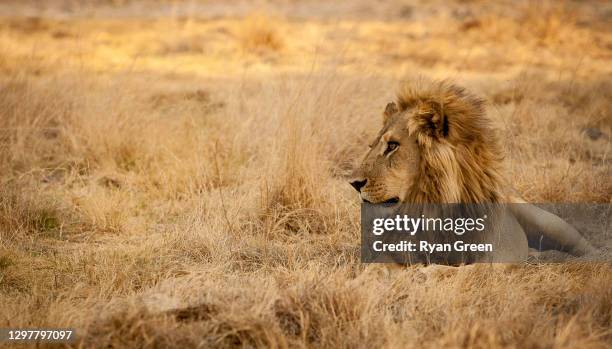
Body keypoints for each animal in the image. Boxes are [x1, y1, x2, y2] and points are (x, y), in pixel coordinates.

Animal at [350, 79, 596, 264]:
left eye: (392, 146)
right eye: (372, 146)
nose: (354, 183)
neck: (429, 204)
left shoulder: (492, 258)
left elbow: (446, 272)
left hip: (547, 222)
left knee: (585, 247)